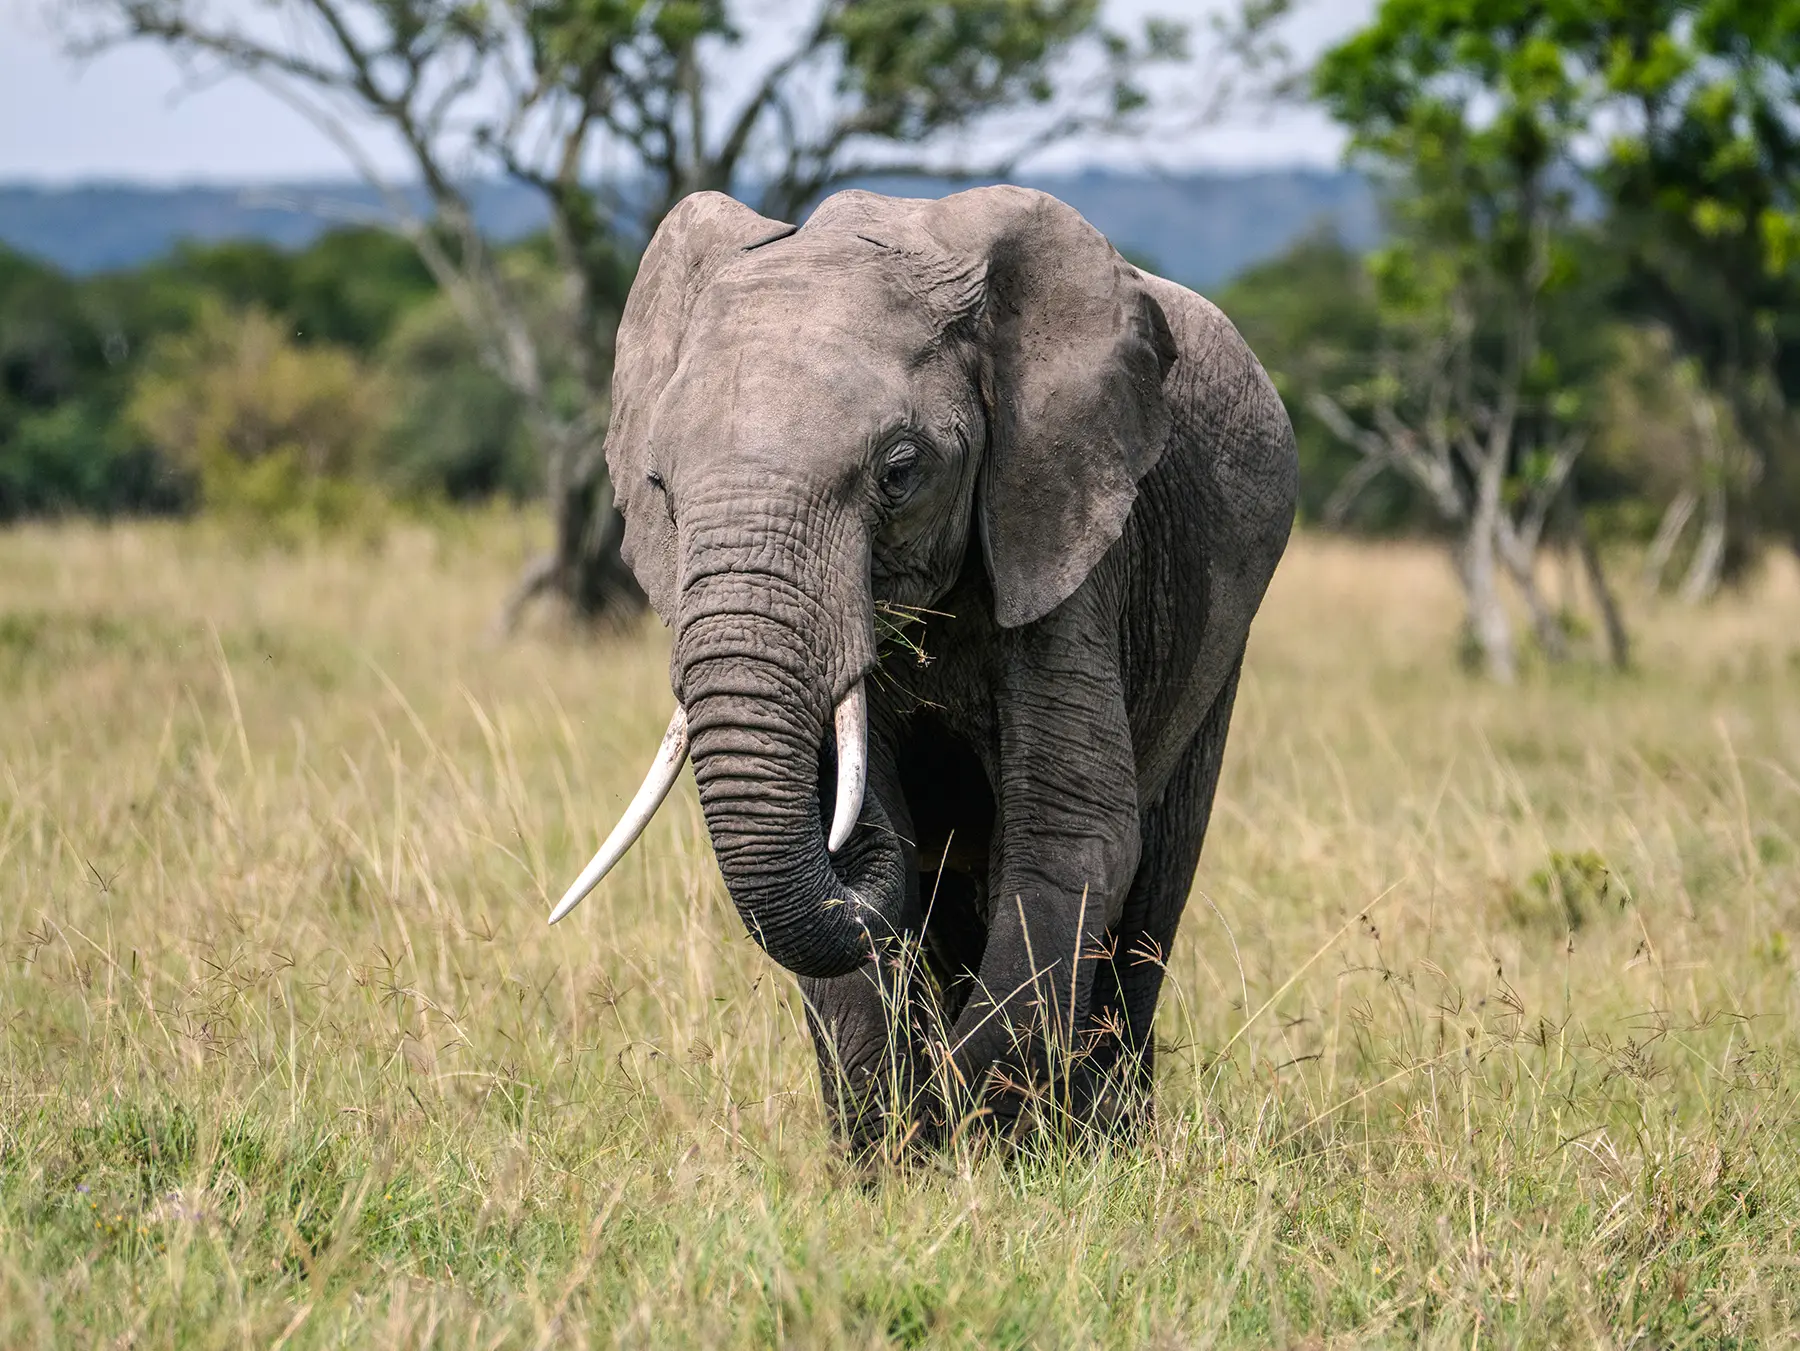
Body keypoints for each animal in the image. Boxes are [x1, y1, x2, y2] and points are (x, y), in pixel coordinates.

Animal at [550, 185, 1297, 1147]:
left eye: (899, 473)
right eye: (661, 492)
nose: (845, 831)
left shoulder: (1066, 541)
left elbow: (1072, 836)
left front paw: (982, 1133)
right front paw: (903, 1148)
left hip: (1217, 637)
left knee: (1152, 889)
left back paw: (1108, 1131)